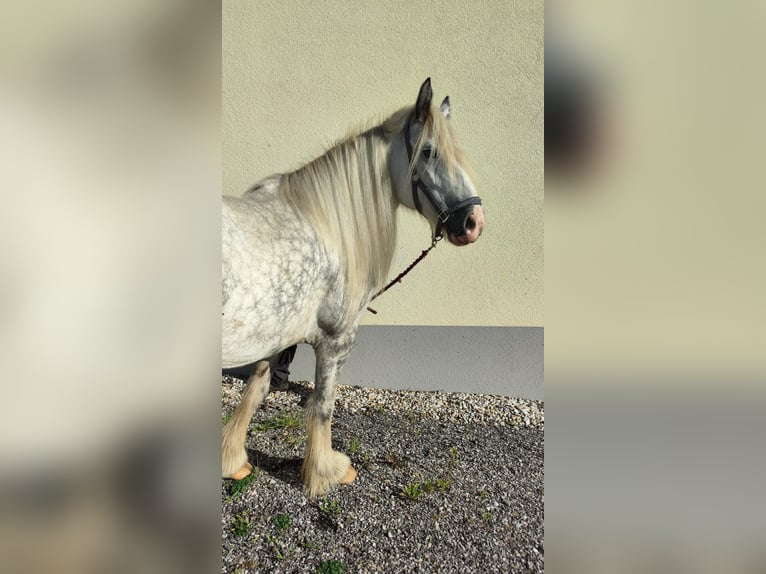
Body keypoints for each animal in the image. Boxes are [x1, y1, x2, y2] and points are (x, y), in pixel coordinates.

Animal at [222, 78, 485, 498]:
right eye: (429, 151)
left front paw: (232, 460)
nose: (473, 222)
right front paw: (326, 471)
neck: (323, 225)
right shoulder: (335, 340)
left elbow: (256, 388)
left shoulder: (276, 333)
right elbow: (323, 404)